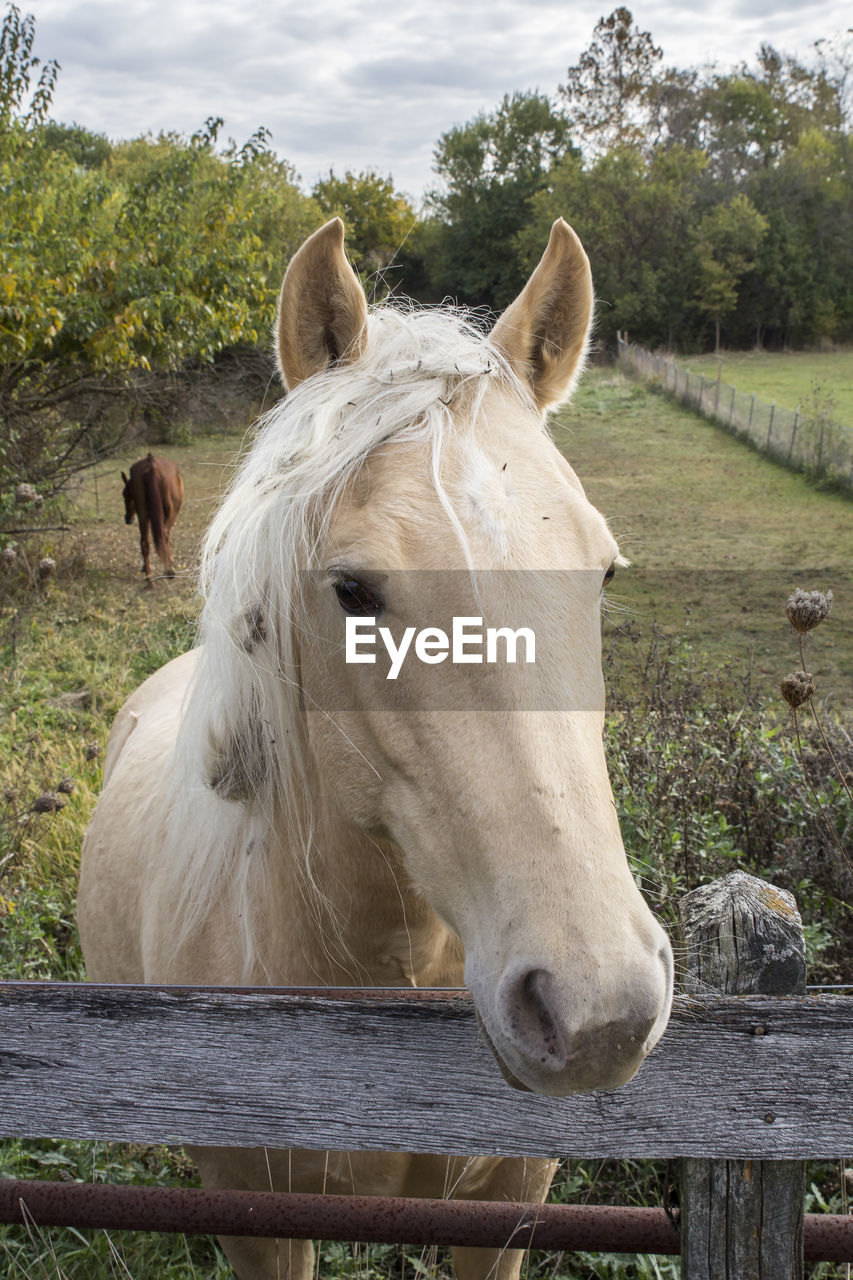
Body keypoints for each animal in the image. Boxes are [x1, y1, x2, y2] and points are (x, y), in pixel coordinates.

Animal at [120, 455, 181, 586]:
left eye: (125, 494)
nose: (128, 518)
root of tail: (151, 466)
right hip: (169, 515)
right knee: (164, 534)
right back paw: (168, 570)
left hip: (143, 515)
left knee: (144, 542)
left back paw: (149, 579)